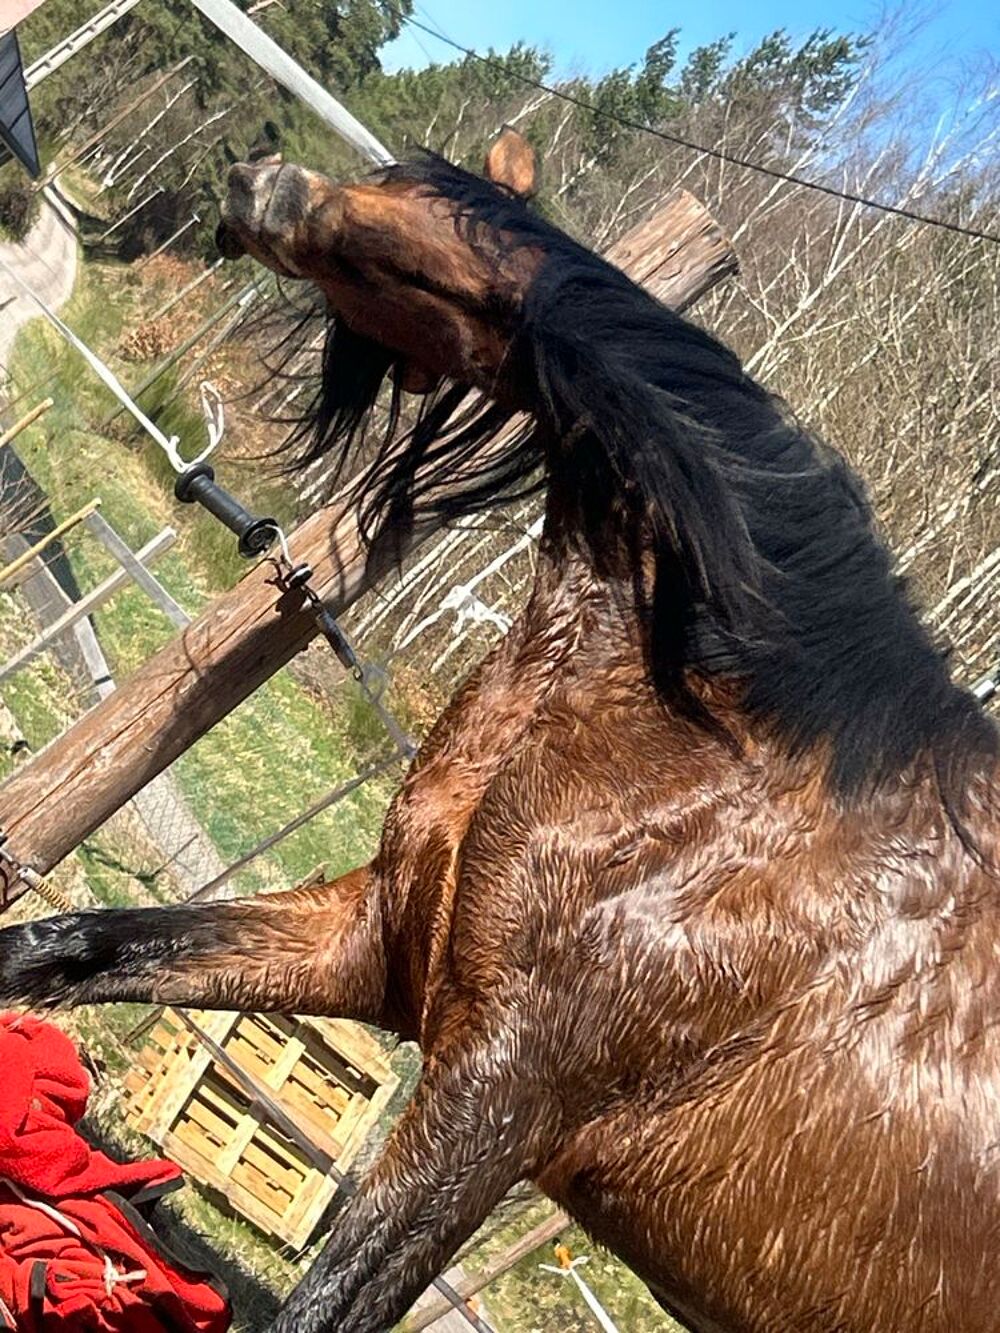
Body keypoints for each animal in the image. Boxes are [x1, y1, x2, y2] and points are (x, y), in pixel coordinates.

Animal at [1, 129, 998, 1333]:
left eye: (444, 225)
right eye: (409, 177)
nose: (261, 184)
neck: (719, 770)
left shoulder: (501, 1095)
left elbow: (330, 1299)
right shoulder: (370, 944)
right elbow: (68, 950)